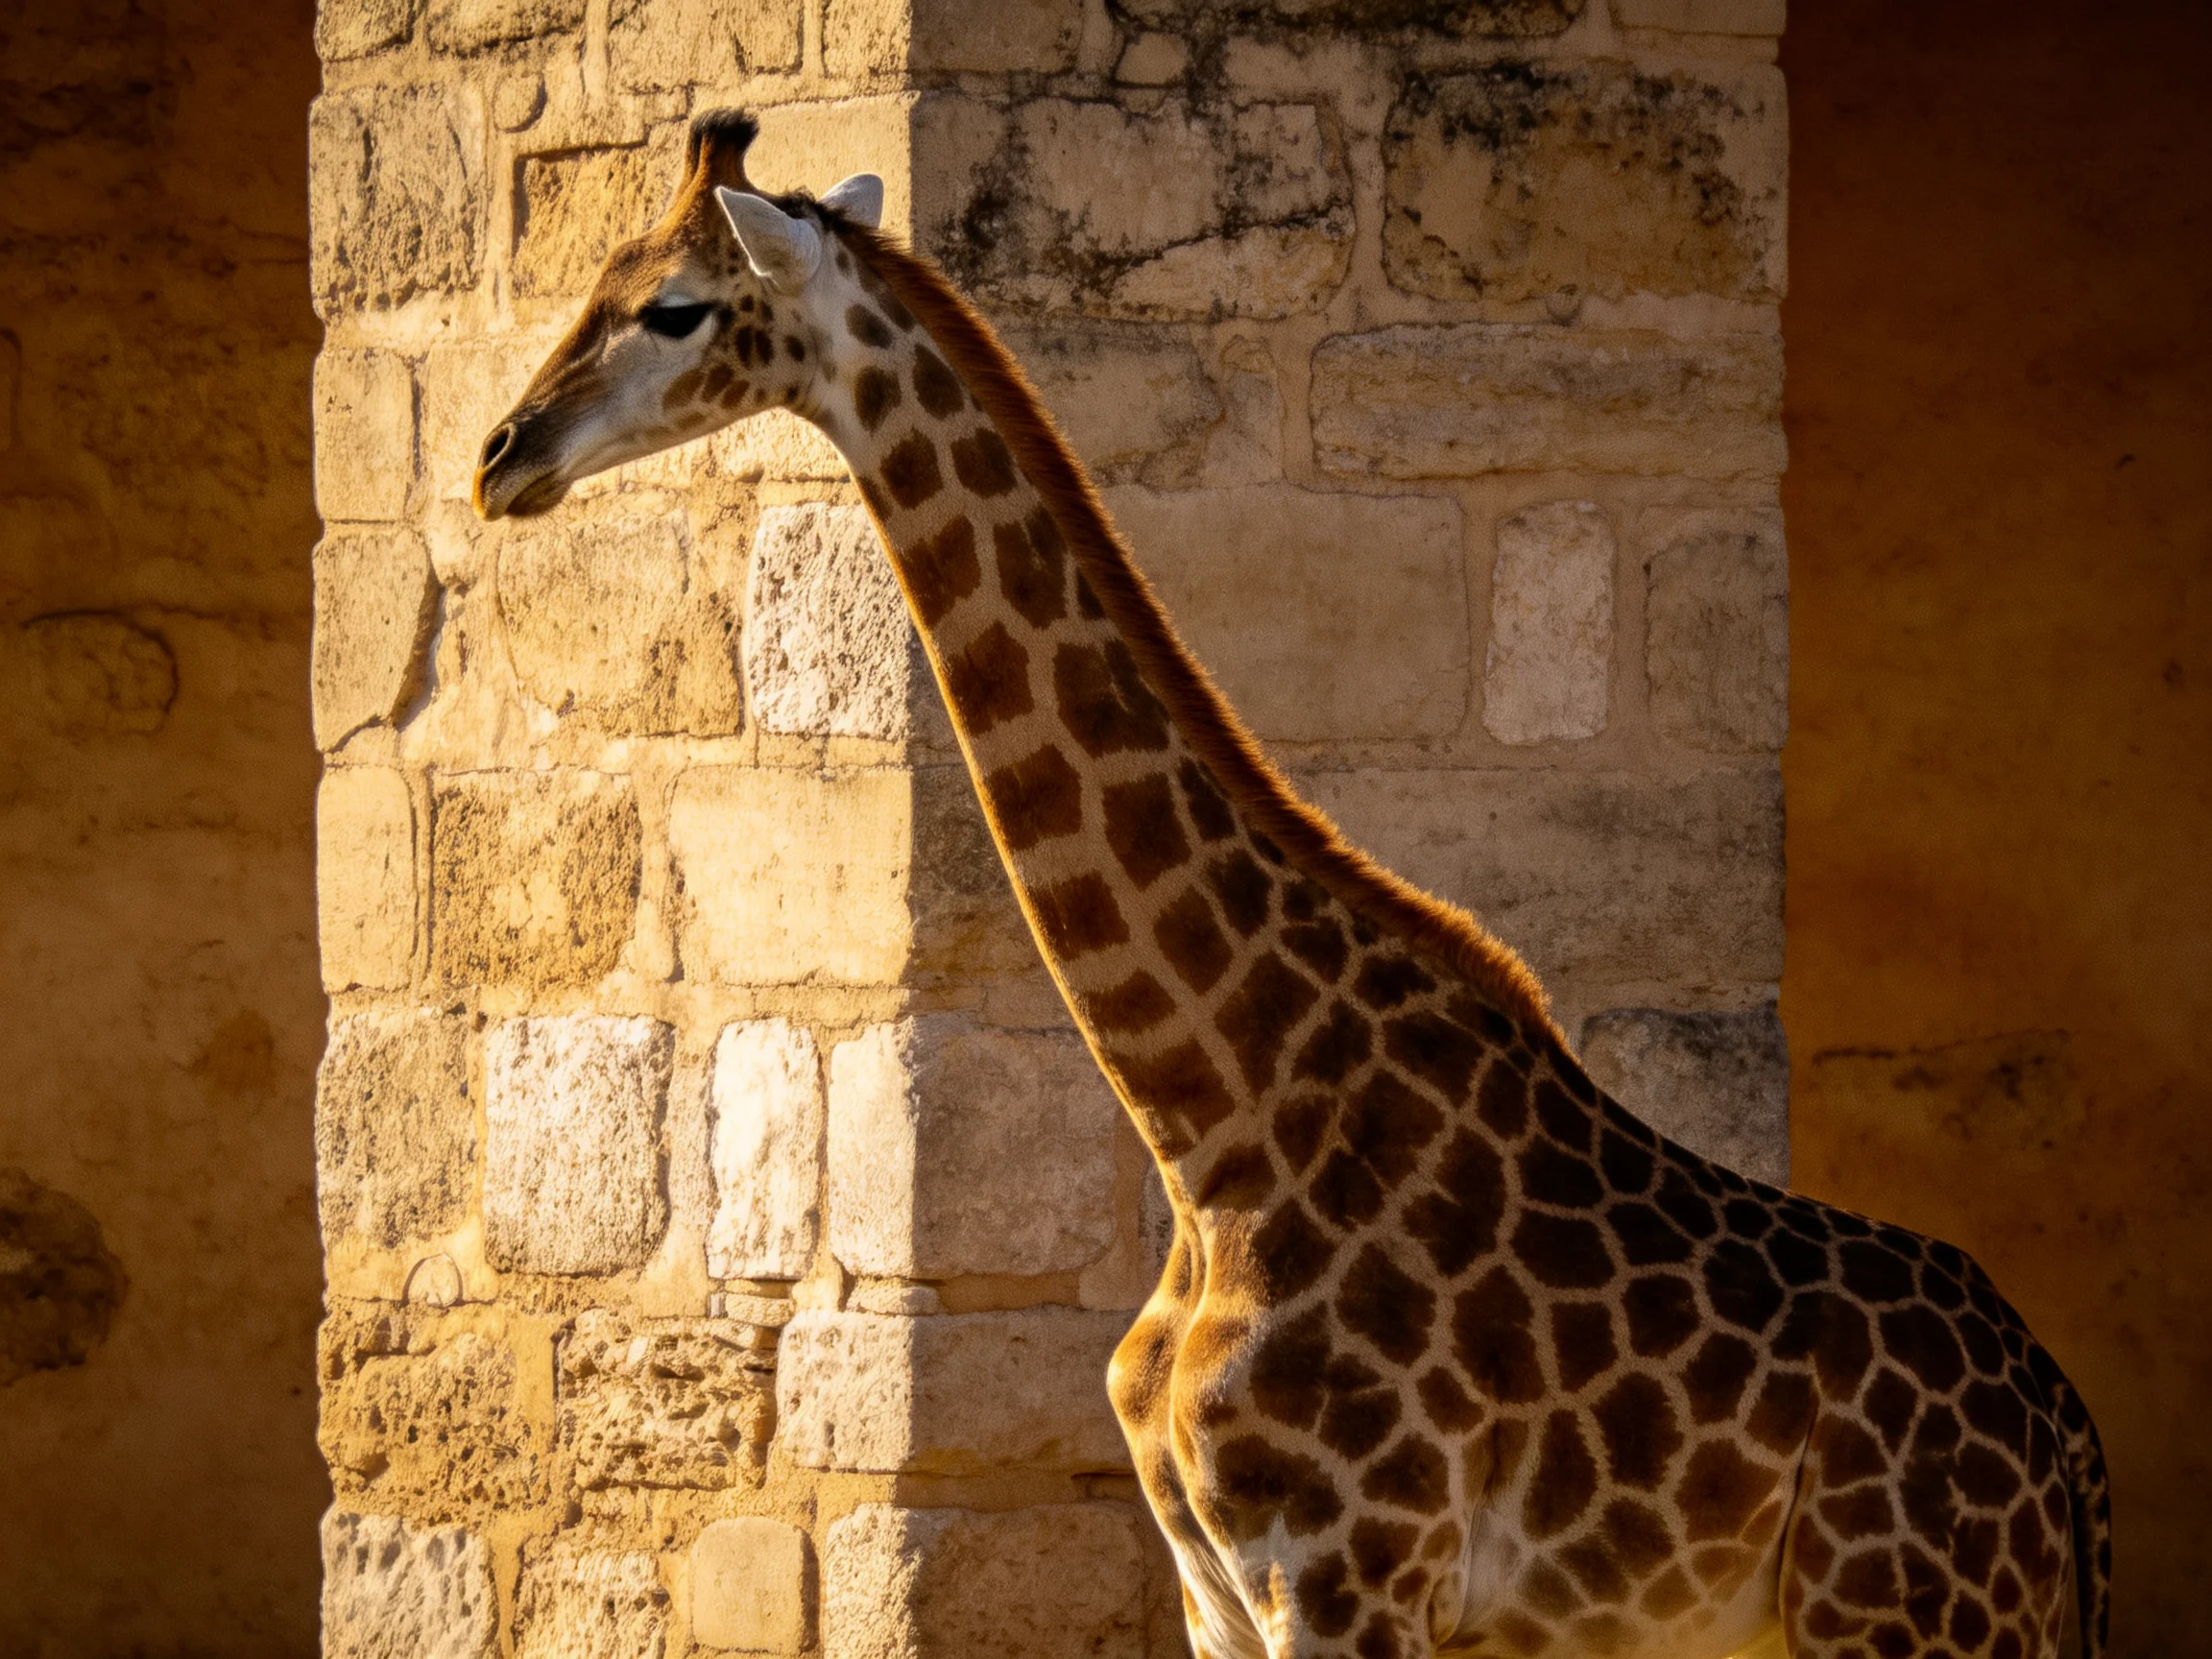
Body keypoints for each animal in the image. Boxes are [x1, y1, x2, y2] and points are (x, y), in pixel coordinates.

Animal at [471, 112, 2113, 1659]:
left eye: (674, 307)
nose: (500, 458)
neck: (1213, 1122)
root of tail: (2072, 1447)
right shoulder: (1220, 1592)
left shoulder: (1347, 1580)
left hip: (1902, 1616)